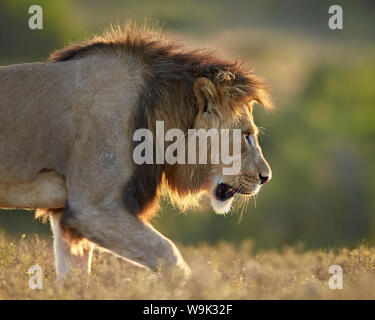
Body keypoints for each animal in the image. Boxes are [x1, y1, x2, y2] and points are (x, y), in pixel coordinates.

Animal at [0, 24, 272, 280]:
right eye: (247, 134)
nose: (266, 177)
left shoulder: (68, 216)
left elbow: (73, 276)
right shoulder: (92, 209)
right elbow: (169, 254)